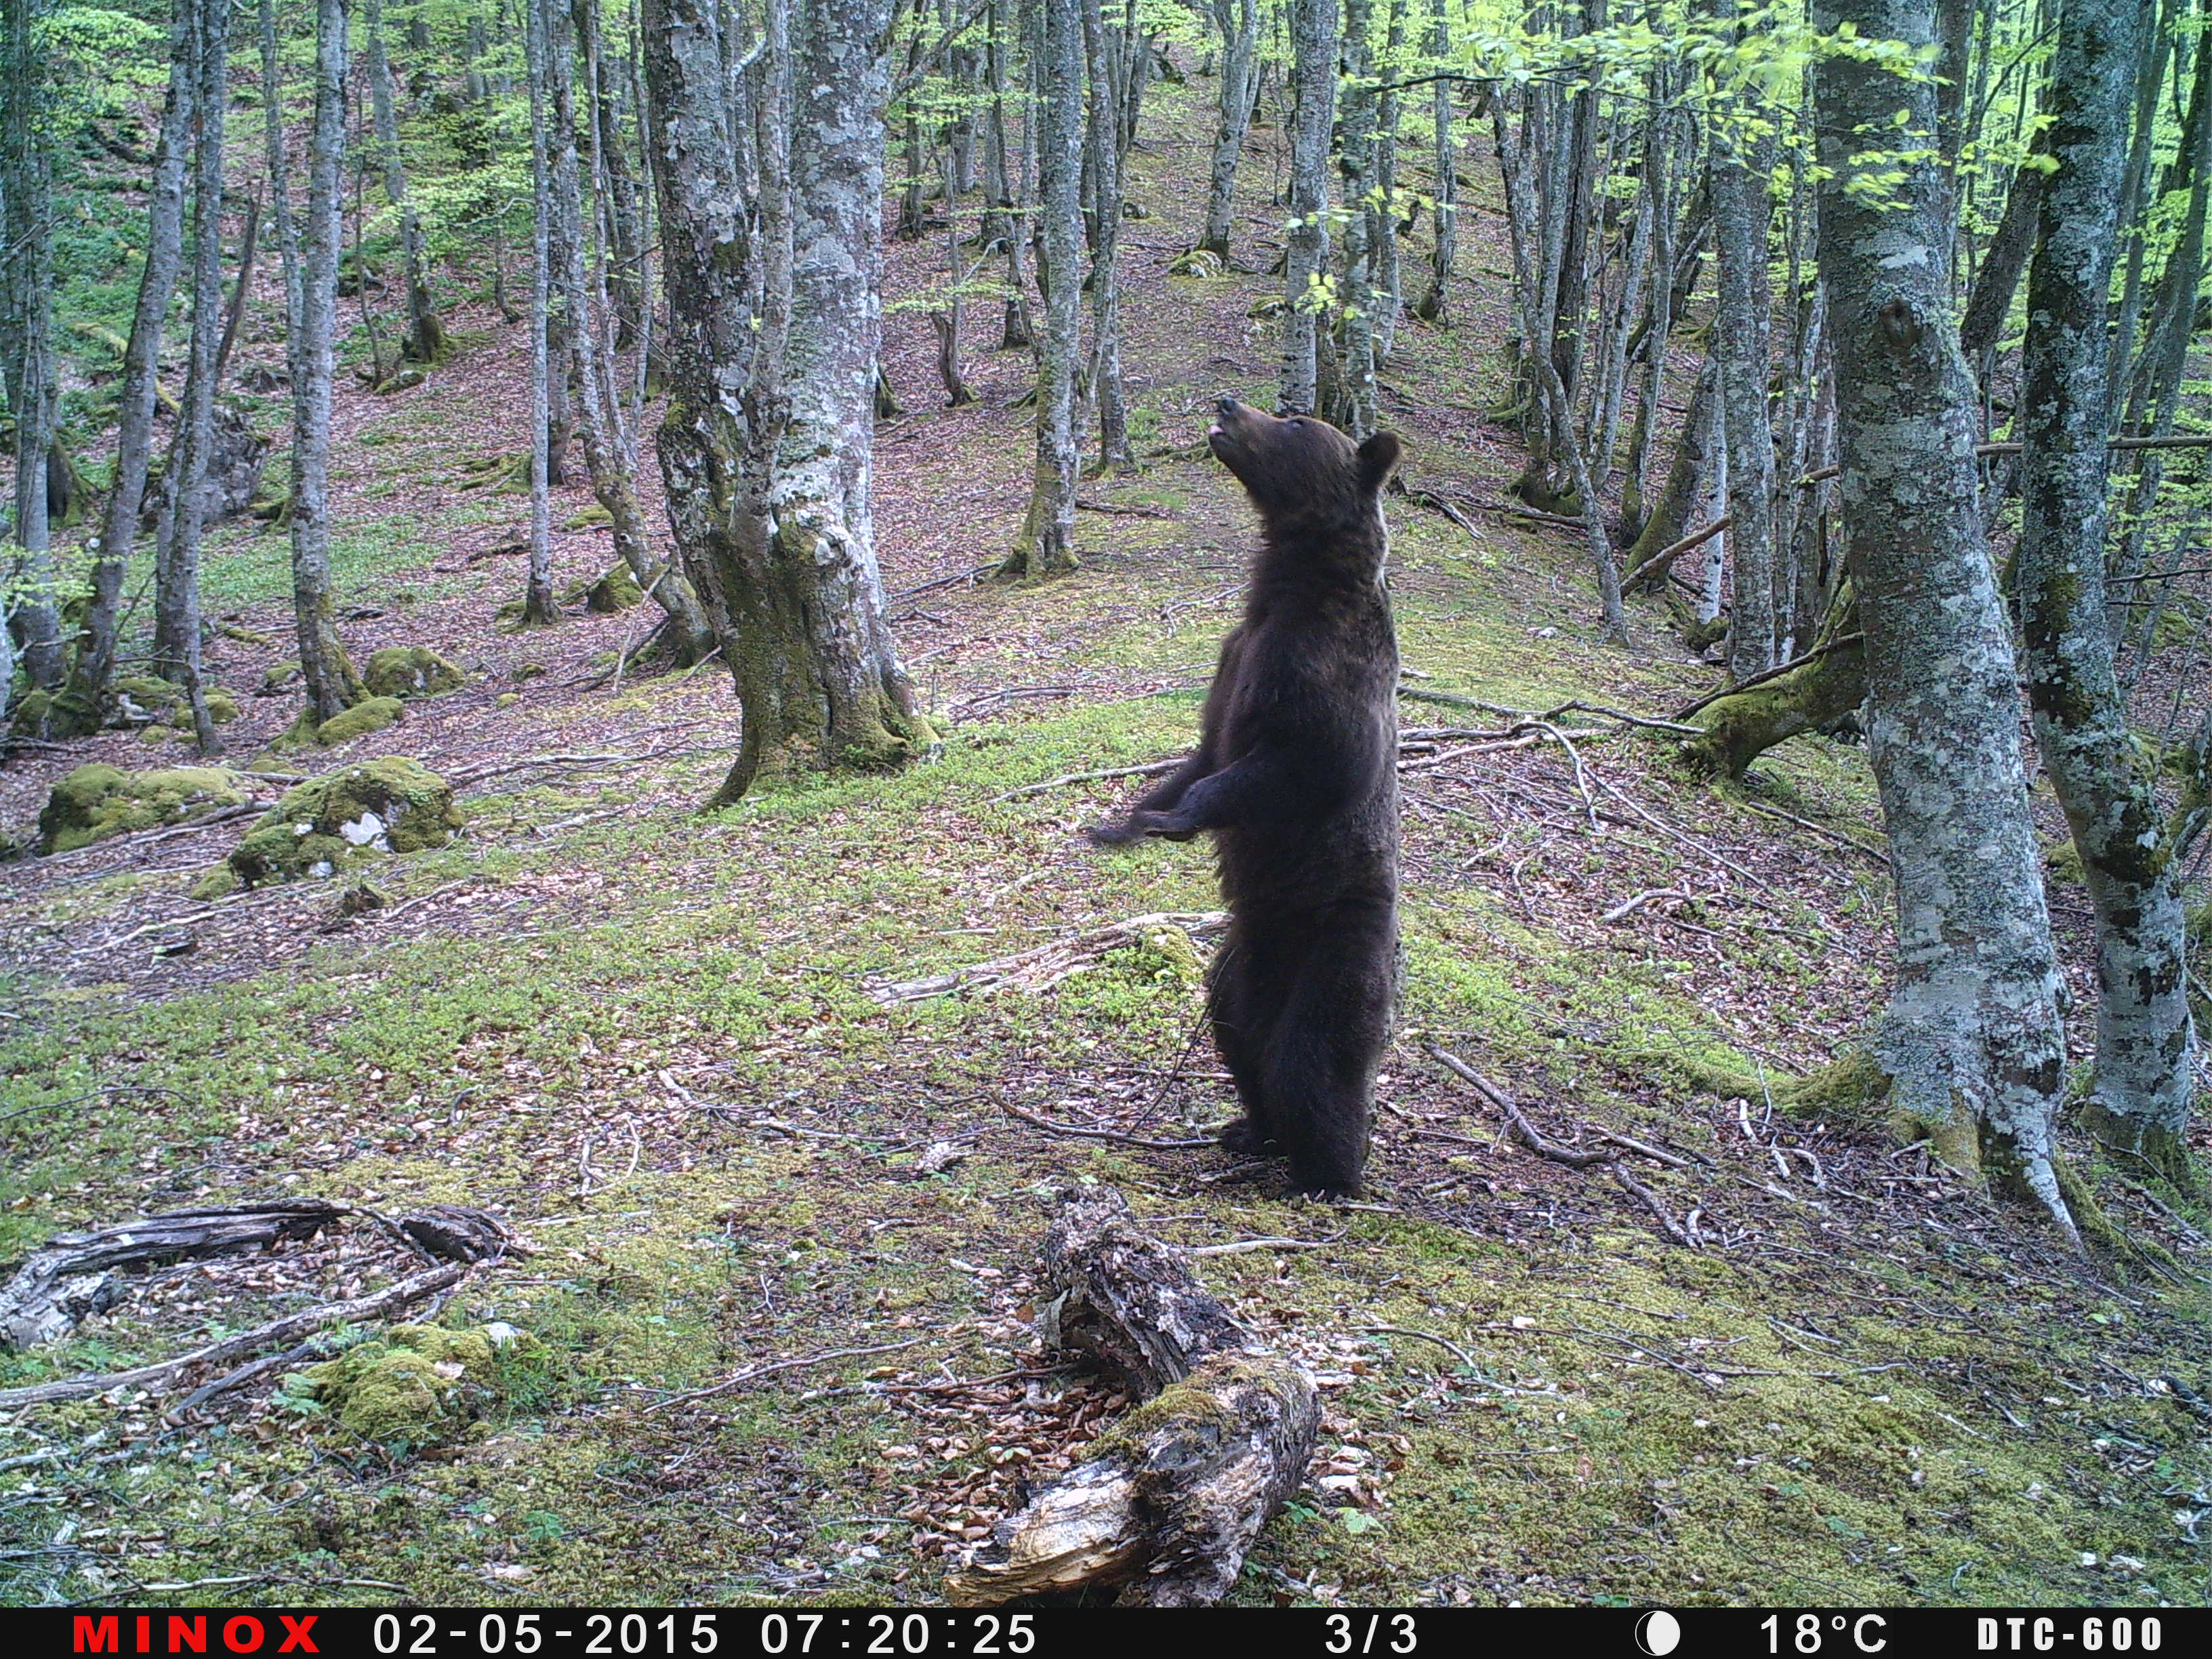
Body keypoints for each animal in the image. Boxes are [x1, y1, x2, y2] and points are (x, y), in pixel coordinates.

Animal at [1088, 396, 1402, 1196]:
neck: (1288, 592)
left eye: (1295, 424)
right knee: (1237, 1034)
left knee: (1312, 1058)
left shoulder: (1326, 679)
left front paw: (1175, 816)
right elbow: (1204, 751)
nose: (1230, 405)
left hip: (1340, 941)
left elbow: (1300, 767)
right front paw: (1125, 820)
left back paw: (1326, 1172)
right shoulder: (1236, 658)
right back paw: (1250, 1128)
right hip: (1243, 960)